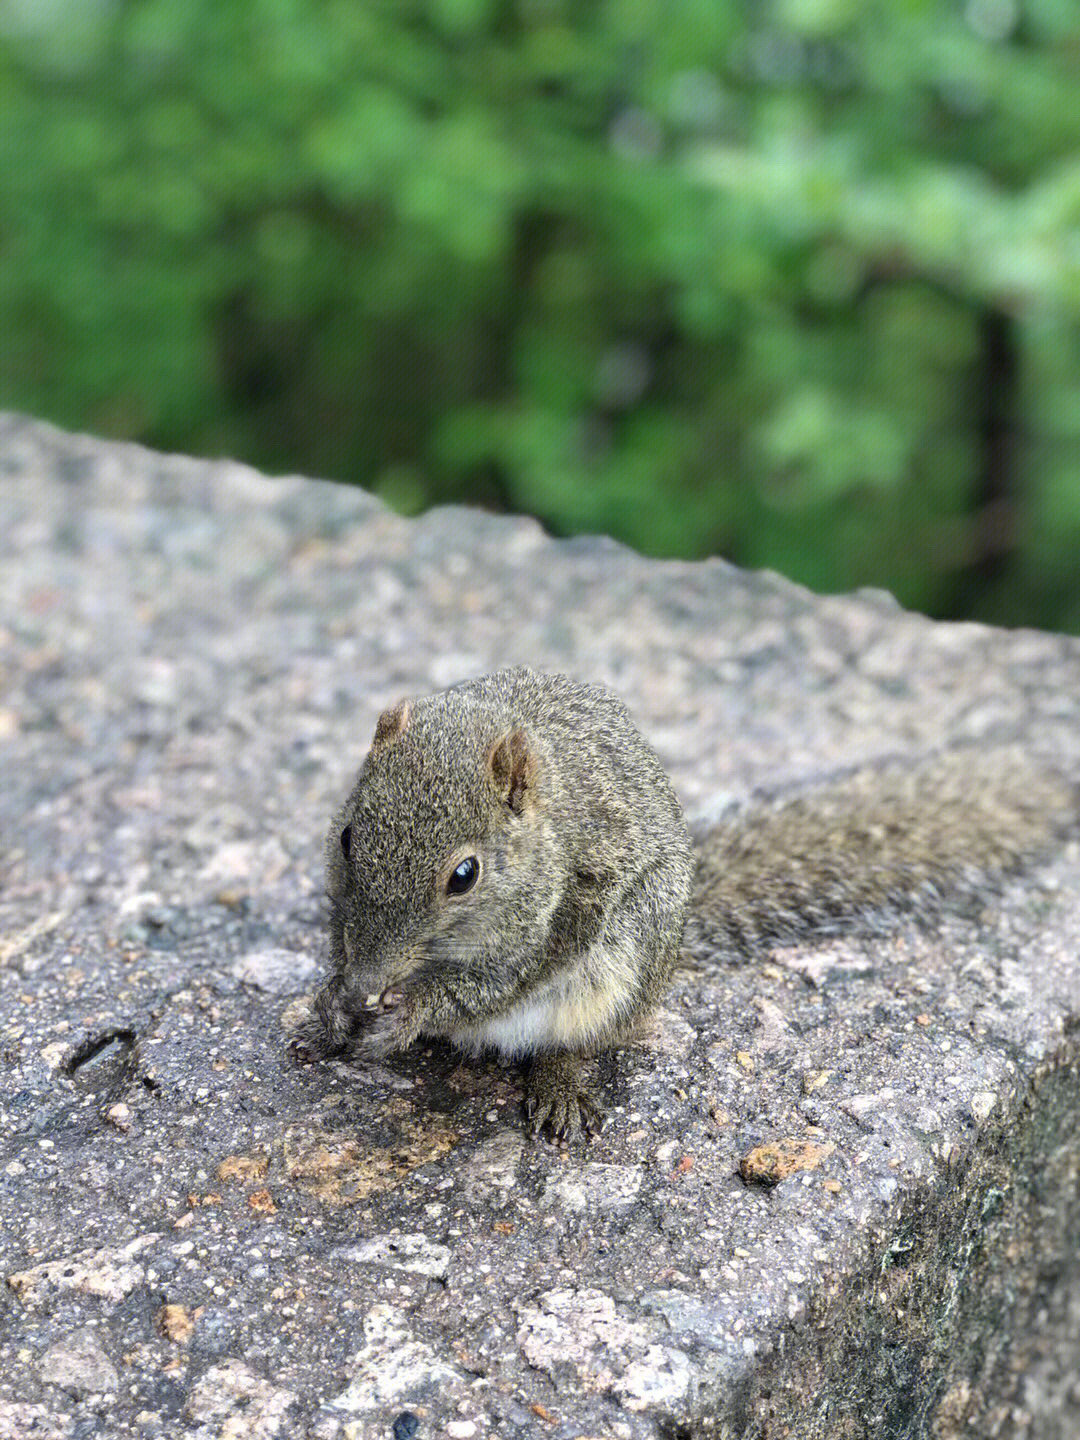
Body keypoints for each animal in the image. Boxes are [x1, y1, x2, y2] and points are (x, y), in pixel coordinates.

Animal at [292, 659, 1077, 1134]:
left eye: (465, 874)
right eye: (347, 836)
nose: (369, 982)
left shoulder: (562, 918)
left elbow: (493, 983)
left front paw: (411, 1010)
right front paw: (332, 1002)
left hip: (625, 965)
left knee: (581, 1038)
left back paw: (558, 1085)